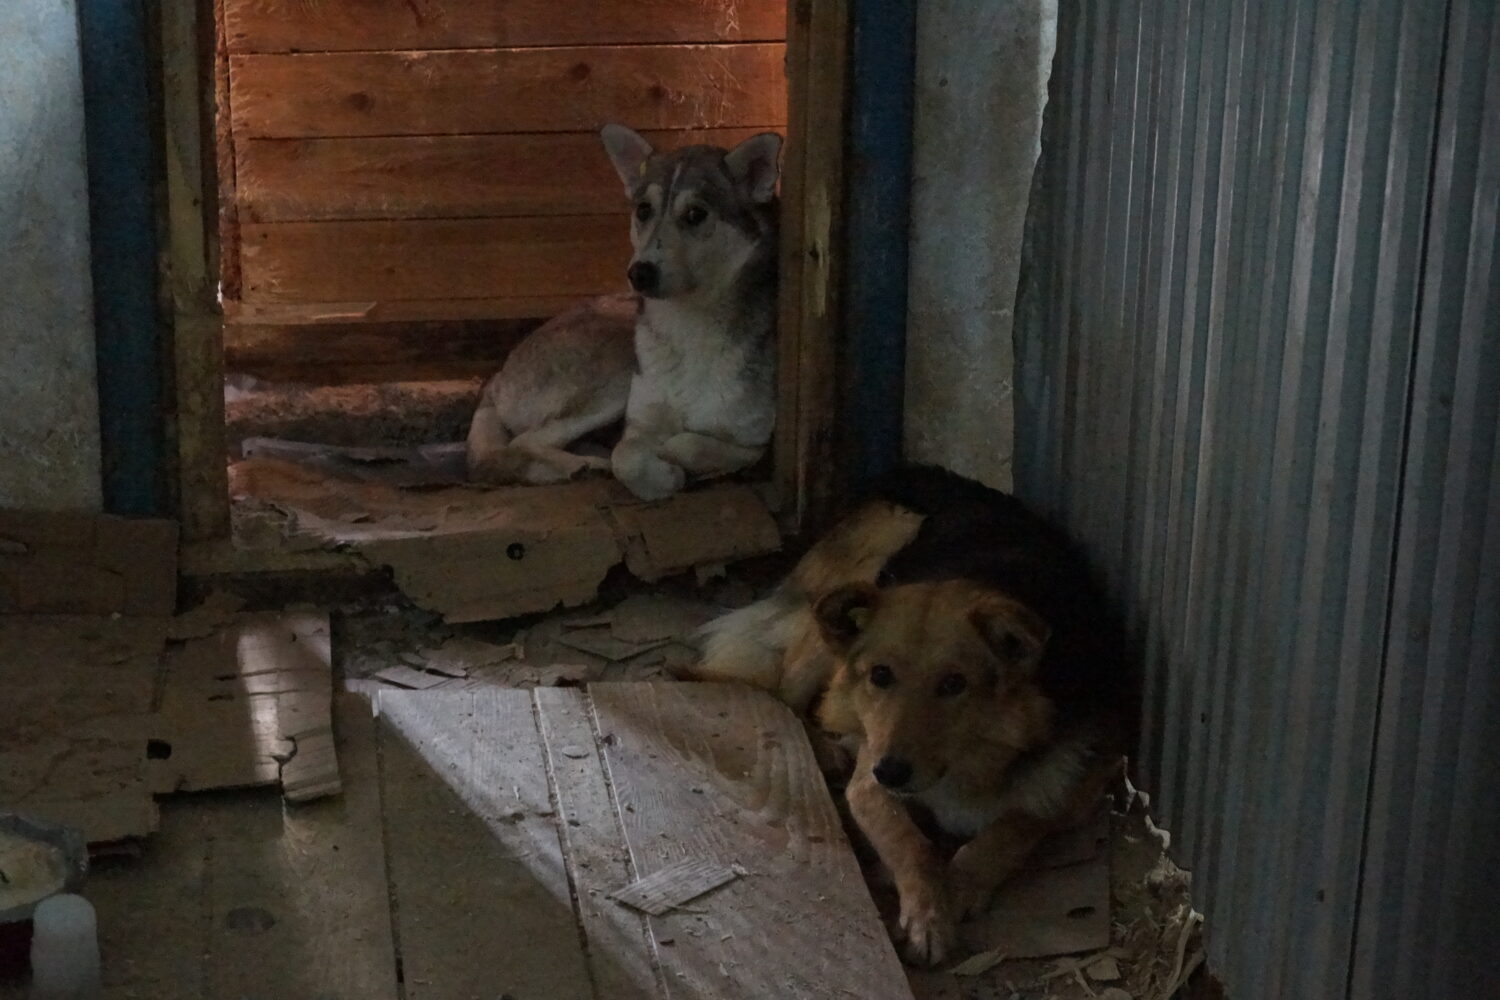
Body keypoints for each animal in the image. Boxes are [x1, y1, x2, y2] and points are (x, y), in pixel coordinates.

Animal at [462, 127, 780, 497]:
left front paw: (679, 462)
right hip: (616, 366)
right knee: (524, 442)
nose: (639, 273)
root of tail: (498, 378)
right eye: (644, 210)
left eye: (695, 214)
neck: (688, 325)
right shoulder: (639, 424)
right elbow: (627, 456)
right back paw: (582, 466)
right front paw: (662, 477)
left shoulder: (758, 444)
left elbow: (687, 443)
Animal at [696, 464, 1128, 965]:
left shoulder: (1088, 774)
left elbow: (1014, 826)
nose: (892, 772)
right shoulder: (869, 778)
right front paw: (928, 913)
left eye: (954, 684)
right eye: (881, 675)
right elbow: (909, 841)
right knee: (781, 691)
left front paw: (956, 891)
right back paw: (823, 748)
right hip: (870, 564)